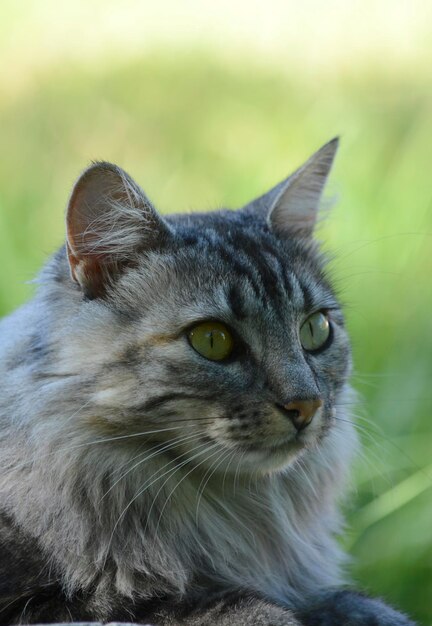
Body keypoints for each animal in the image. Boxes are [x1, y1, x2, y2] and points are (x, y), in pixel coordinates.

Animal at [0, 141, 416, 624]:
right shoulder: (59, 604)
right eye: (212, 340)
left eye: (316, 329)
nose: (306, 405)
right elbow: (219, 606)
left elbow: (356, 602)